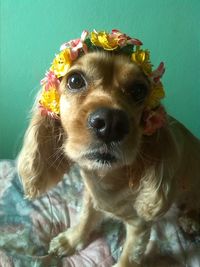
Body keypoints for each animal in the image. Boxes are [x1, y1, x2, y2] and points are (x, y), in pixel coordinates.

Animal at [17, 30, 200, 266]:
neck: (108, 176)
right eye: (75, 80)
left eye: (139, 90)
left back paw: (191, 219)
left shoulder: (139, 226)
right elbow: (86, 217)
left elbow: (128, 257)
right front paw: (71, 239)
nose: (111, 124)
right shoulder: (90, 196)